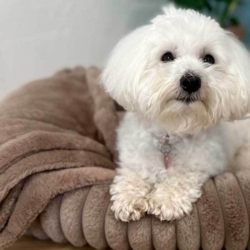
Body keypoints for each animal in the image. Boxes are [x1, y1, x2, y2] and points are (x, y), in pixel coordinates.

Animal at [100, 5, 250, 222]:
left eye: (209, 59)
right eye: (167, 56)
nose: (191, 81)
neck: (172, 130)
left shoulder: (202, 165)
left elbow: (181, 177)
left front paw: (166, 199)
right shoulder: (135, 160)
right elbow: (133, 174)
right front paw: (129, 197)